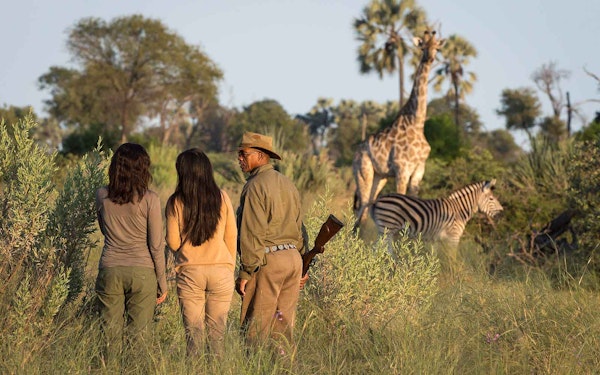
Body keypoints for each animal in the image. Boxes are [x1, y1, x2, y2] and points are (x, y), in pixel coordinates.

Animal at [352, 30, 446, 229]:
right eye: (423, 46)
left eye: (437, 47)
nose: (430, 58)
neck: (417, 123)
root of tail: (355, 152)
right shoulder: (402, 169)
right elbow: (402, 200)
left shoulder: (419, 170)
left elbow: (414, 200)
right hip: (363, 172)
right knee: (362, 205)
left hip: (380, 176)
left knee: (366, 206)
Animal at [370, 180, 502, 248]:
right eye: (491, 199)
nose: (502, 213)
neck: (459, 210)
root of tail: (378, 199)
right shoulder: (453, 237)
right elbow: (453, 260)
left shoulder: (437, 239)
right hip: (387, 228)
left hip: (385, 230)